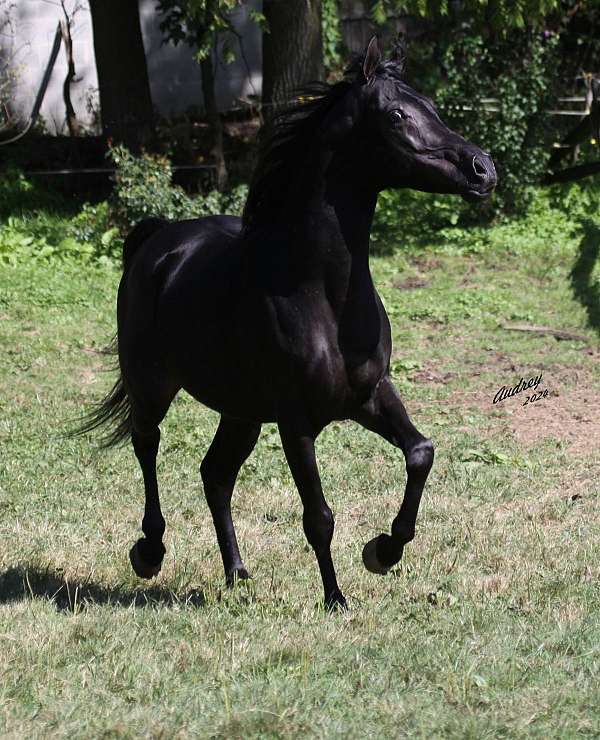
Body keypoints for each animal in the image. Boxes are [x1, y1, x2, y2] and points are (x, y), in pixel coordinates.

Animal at [83, 37, 496, 608]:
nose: (483, 169)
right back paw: (150, 552)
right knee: (148, 444)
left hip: (241, 410)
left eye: (432, 107)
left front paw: (383, 551)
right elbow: (318, 516)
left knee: (215, 475)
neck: (322, 296)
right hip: (154, 383)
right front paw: (336, 599)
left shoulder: (370, 395)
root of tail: (158, 240)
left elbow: (421, 453)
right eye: (397, 115)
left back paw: (237, 574)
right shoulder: (296, 422)